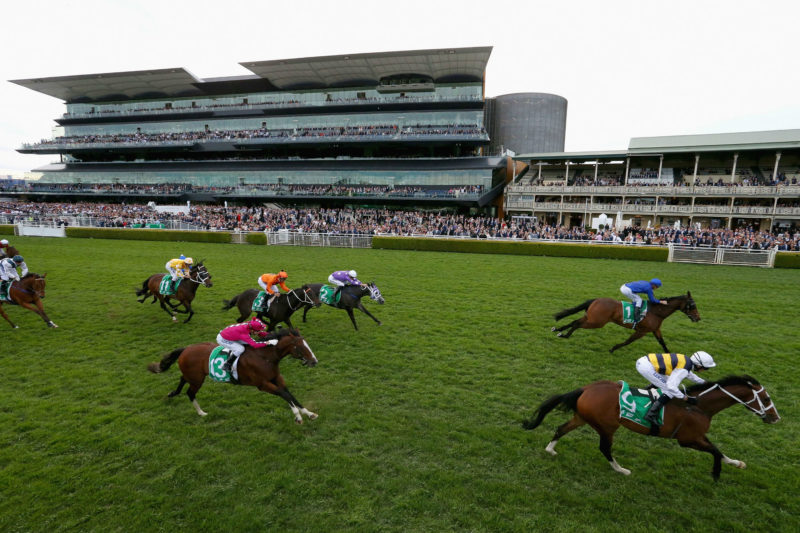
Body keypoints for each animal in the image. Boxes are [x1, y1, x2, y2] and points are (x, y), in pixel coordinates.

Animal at [148, 328, 318, 424]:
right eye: (301, 346)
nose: (314, 361)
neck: (265, 357)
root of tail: (186, 349)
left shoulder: (276, 379)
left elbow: (289, 394)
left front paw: (309, 413)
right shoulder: (262, 384)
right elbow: (284, 394)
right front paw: (298, 417)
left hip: (193, 375)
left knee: (182, 380)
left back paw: (173, 393)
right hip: (197, 379)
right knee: (190, 393)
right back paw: (201, 413)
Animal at [520, 374, 780, 478]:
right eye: (766, 398)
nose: (775, 417)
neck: (699, 406)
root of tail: (585, 388)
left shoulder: (697, 436)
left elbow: (720, 450)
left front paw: (737, 463)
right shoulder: (687, 440)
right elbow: (715, 451)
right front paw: (716, 473)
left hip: (583, 417)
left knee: (561, 428)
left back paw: (550, 449)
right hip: (607, 426)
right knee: (605, 448)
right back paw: (621, 470)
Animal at [552, 290, 696, 354]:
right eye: (693, 305)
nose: (698, 318)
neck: (657, 312)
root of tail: (596, 299)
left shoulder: (655, 329)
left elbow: (662, 342)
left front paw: (670, 357)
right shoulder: (642, 331)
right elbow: (628, 341)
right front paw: (613, 349)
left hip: (591, 317)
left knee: (575, 321)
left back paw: (558, 330)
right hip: (597, 322)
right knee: (577, 324)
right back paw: (564, 335)